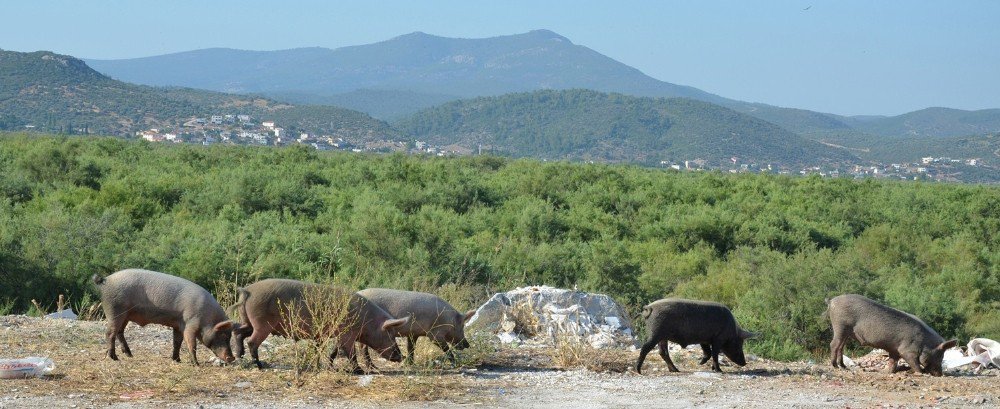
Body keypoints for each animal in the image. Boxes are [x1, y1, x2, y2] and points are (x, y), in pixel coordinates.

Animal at [92, 268, 236, 364]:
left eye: (229, 336)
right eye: (223, 336)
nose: (232, 358)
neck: (208, 318)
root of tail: (106, 280)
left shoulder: (179, 325)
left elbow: (177, 342)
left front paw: (177, 360)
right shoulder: (190, 323)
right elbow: (191, 343)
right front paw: (196, 364)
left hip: (125, 315)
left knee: (119, 332)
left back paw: (129, 355)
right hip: (114, 311)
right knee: (110, 333)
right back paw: (114, 358)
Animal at [229, 278, 408, 372]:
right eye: (390, 334)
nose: (401, 357)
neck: (366, 319)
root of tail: (247, 291)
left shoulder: (336, 334)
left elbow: (332, 351)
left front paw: (329, 367)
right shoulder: (347, 334)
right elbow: (350, 353)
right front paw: (359, 371)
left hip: (248, 321)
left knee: (238, 332)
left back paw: (240, 356)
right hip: (262, 324)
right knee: (252, 341)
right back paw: (259, 366)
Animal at [824, 294, 956, 376]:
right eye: (940, 356)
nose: (940, 374)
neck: (924, 342)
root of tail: (832, 301)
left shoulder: (894, 350)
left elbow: (893, 361)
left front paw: (888, 372)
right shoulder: (907, 350)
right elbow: (915, 363)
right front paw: (919, 372)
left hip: (846, 332)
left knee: (841, 346)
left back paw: (843, 366)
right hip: (840, 326)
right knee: (833, 344)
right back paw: (835, 366)